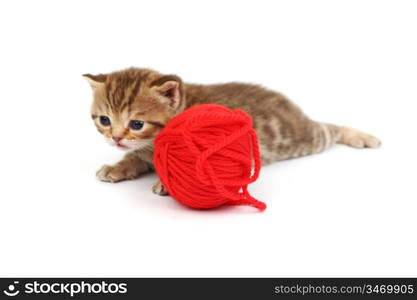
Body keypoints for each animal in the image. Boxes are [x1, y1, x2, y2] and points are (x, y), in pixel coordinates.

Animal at [84, 67, 380, 196]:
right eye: (105, 120)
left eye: (137, 124)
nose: (116, 138)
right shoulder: (140, 151)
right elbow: (134, 157)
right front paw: (117, 167)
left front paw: (168, 183)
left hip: (303, 138)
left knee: (330, 129)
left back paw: (362, 137)